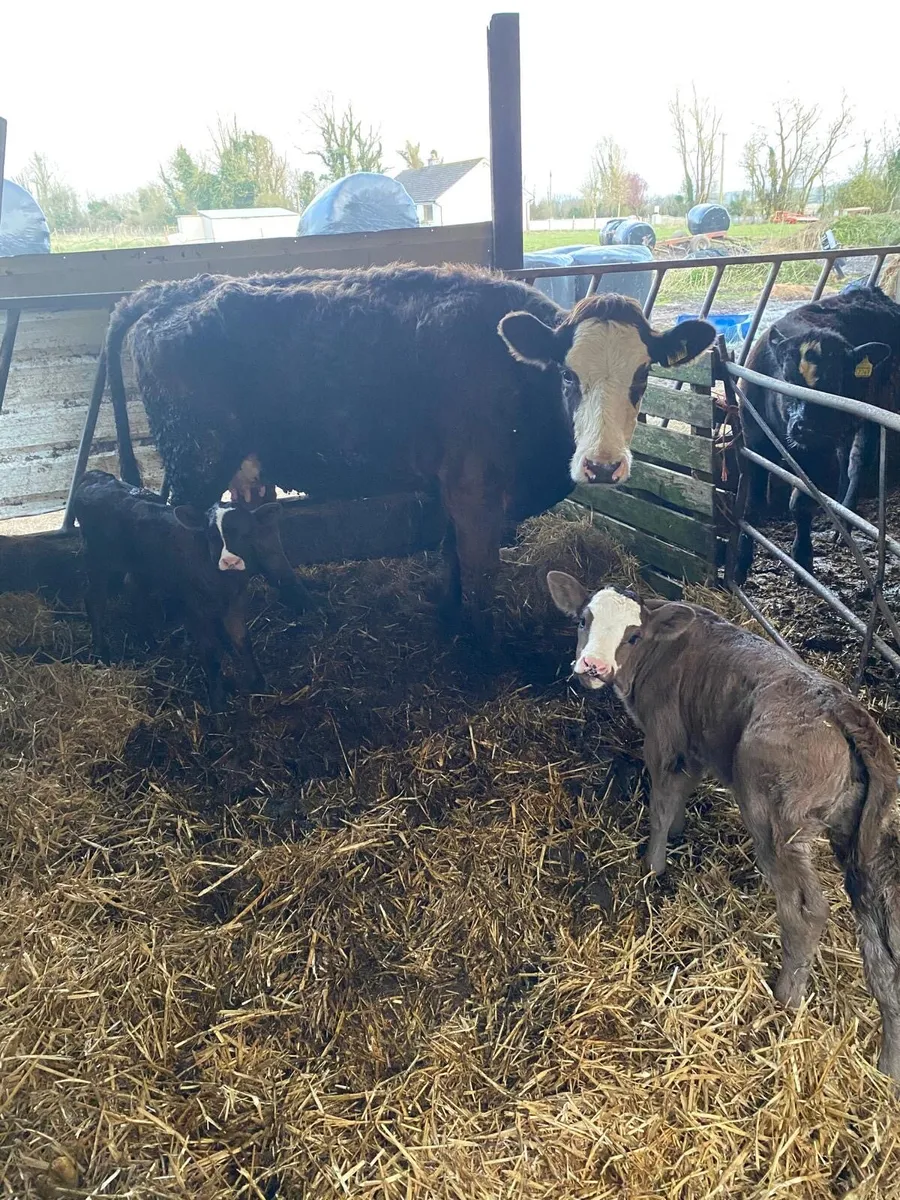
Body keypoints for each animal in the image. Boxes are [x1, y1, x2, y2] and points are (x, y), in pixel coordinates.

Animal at [73, 470, 290, 711]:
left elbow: (242, 641)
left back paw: (148, 641)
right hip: (98, 559)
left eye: (247, 533)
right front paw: (218, 702)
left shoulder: (236, 602)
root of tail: (96, 476)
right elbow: (210, 651)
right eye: (211, 535)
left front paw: (258, 683)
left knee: (133, 587)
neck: (223, 582)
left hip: (140, 564)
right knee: (94, 600)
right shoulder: (195, 608)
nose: (231, 562)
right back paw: (102, 653)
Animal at [101, 264, 715, 645]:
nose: (603, 465)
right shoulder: (473, 487)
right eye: (568, 374)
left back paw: (305, 602)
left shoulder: (455, 485)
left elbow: (451, 556)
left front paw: (447, 616)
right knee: (185, 536)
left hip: (245, 458)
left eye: (643, 376)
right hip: (197, 459)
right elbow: (479, 567)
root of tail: (169, 290)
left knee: (259, 525)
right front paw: (483, 648)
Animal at [548, 570, 900, 1081]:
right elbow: (681, 795)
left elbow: (661, 803)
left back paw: (786, 997)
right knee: (881, 941)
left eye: (633, 636)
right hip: (864, 843)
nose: (593, 666)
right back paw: (889, 1063)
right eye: (583, 620)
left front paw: (652, 865)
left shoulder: (664, 737)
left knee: (807, 909)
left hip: (774, 819)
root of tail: (844, 709)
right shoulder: (695, 744)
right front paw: (676, 835)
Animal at [735, 286, 900, 584]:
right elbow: (751, 505)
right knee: (845, 459)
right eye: (787, 380)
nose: (805, 427)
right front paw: (740, 565)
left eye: (834, 384)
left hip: (872, 412)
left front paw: (802, 560)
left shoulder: (816, 451)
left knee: (857, 462)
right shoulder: (753, 440)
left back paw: (844, 522)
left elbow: (800, 504)